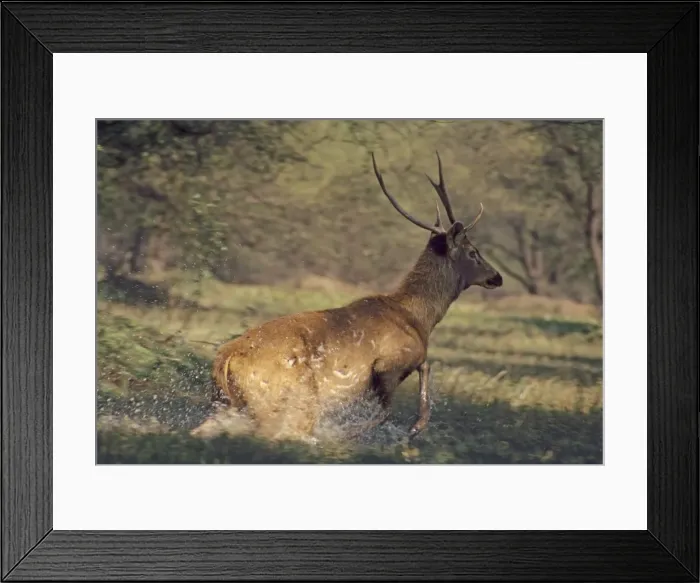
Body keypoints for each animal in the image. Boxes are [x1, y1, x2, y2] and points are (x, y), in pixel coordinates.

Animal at [207, 152, 503, 444]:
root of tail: (224, 361)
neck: (419, 319)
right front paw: (360, 434)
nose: (497, 277)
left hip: (226, 404)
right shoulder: (388, 363)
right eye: (473, 252)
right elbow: (387, 409)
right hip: (288, 396)